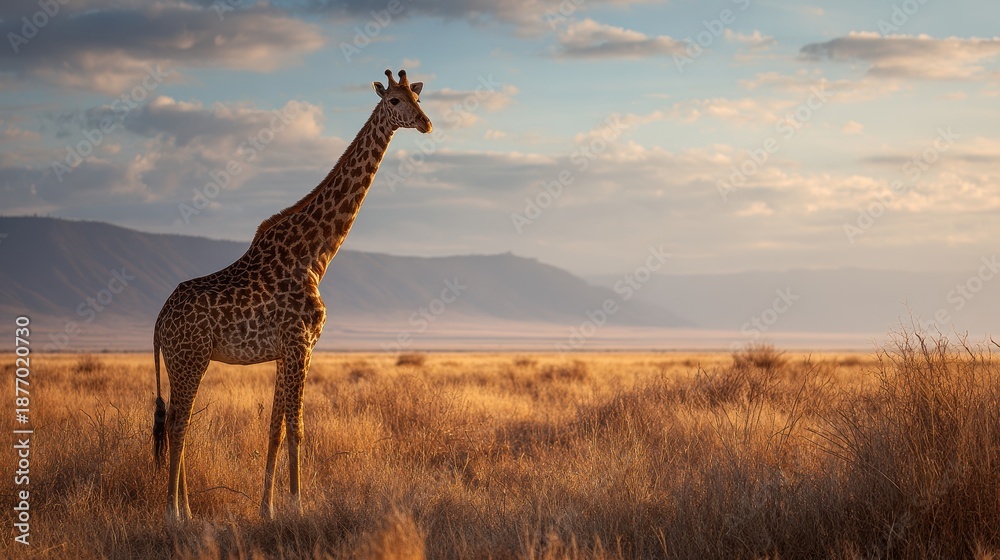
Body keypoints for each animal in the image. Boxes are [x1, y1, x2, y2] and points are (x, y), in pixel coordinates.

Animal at [152, 69, 432, 521]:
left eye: (418, 97)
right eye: (393, 100)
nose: (426, 123)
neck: (316, 254)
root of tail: (158, 321)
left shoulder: (288, 349)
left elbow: (275, 429)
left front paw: (267, 508)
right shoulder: (301, 343)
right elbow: (298, 428)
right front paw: (299, 505)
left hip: (184, 360)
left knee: (180, 422)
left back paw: (187, 511)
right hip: (189, 358)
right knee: (178, 425)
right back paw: (174, 515)